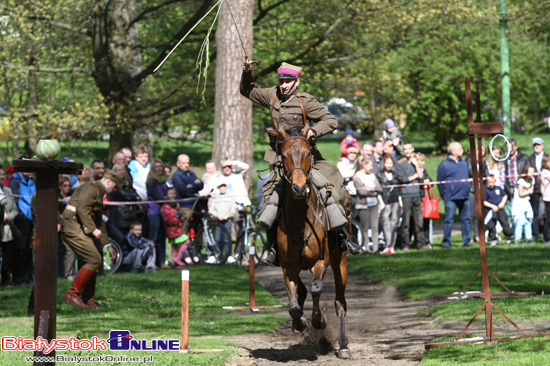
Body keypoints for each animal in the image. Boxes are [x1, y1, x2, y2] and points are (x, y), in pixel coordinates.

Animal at [274, 119, 352, 358]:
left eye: (308, 153)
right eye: (284, 154)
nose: (299, 188)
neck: (301, 220)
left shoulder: (321, 261)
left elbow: (316, 288)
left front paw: (319, 321)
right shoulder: (288, 266)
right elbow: (293, 304)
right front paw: (299, 323)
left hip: (340, 261)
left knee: (340, 302)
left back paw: (343, 345)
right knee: (301, 292)